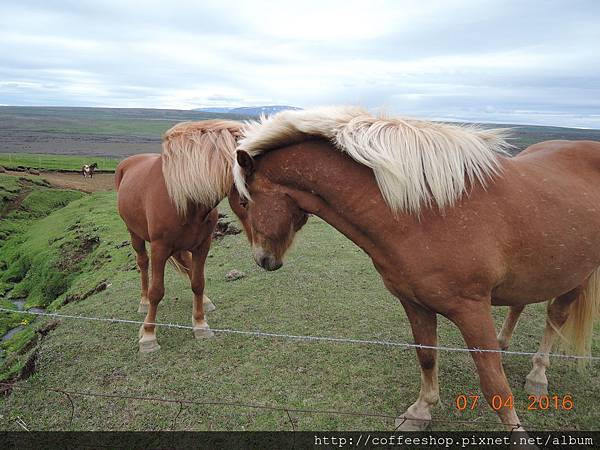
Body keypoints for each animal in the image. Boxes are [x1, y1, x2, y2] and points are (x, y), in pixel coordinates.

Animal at [115, 119, 248, 352]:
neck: (185, 198)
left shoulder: (202, 245)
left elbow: (198, 282)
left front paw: (200, 324)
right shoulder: (159, 248)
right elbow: (156, 291)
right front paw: (148, 335)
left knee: (186, 264)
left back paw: (205, 301)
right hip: (135, 234)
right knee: (143, 263)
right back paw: (143, 302)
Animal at [233, 106, 600, 432]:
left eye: (243, 202)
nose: (262, 259)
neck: (424, 212)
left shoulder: (472, 310)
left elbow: (494, 382)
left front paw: (518, 434)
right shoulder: (415, 303)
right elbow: (426, 356)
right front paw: (420, 411)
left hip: (576, 275)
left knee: (555, 317)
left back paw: (538, 375)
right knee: (520, 303)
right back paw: (505, 343)